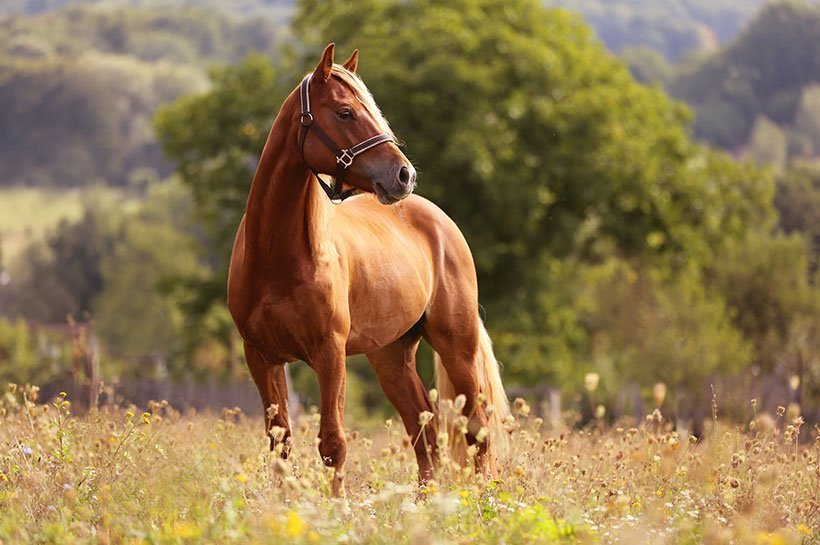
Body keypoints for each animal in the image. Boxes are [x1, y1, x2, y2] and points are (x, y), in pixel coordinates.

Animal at [224, 43, 506, 498]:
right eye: (344, 112)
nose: (404, 175)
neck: (276, 259)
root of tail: (440, 220)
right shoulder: (261, 357)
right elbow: (280, 443)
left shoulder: (329, 352)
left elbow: (332, 443)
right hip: (390, 356)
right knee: (423, 429)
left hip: (456, 346)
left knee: (476, 428)